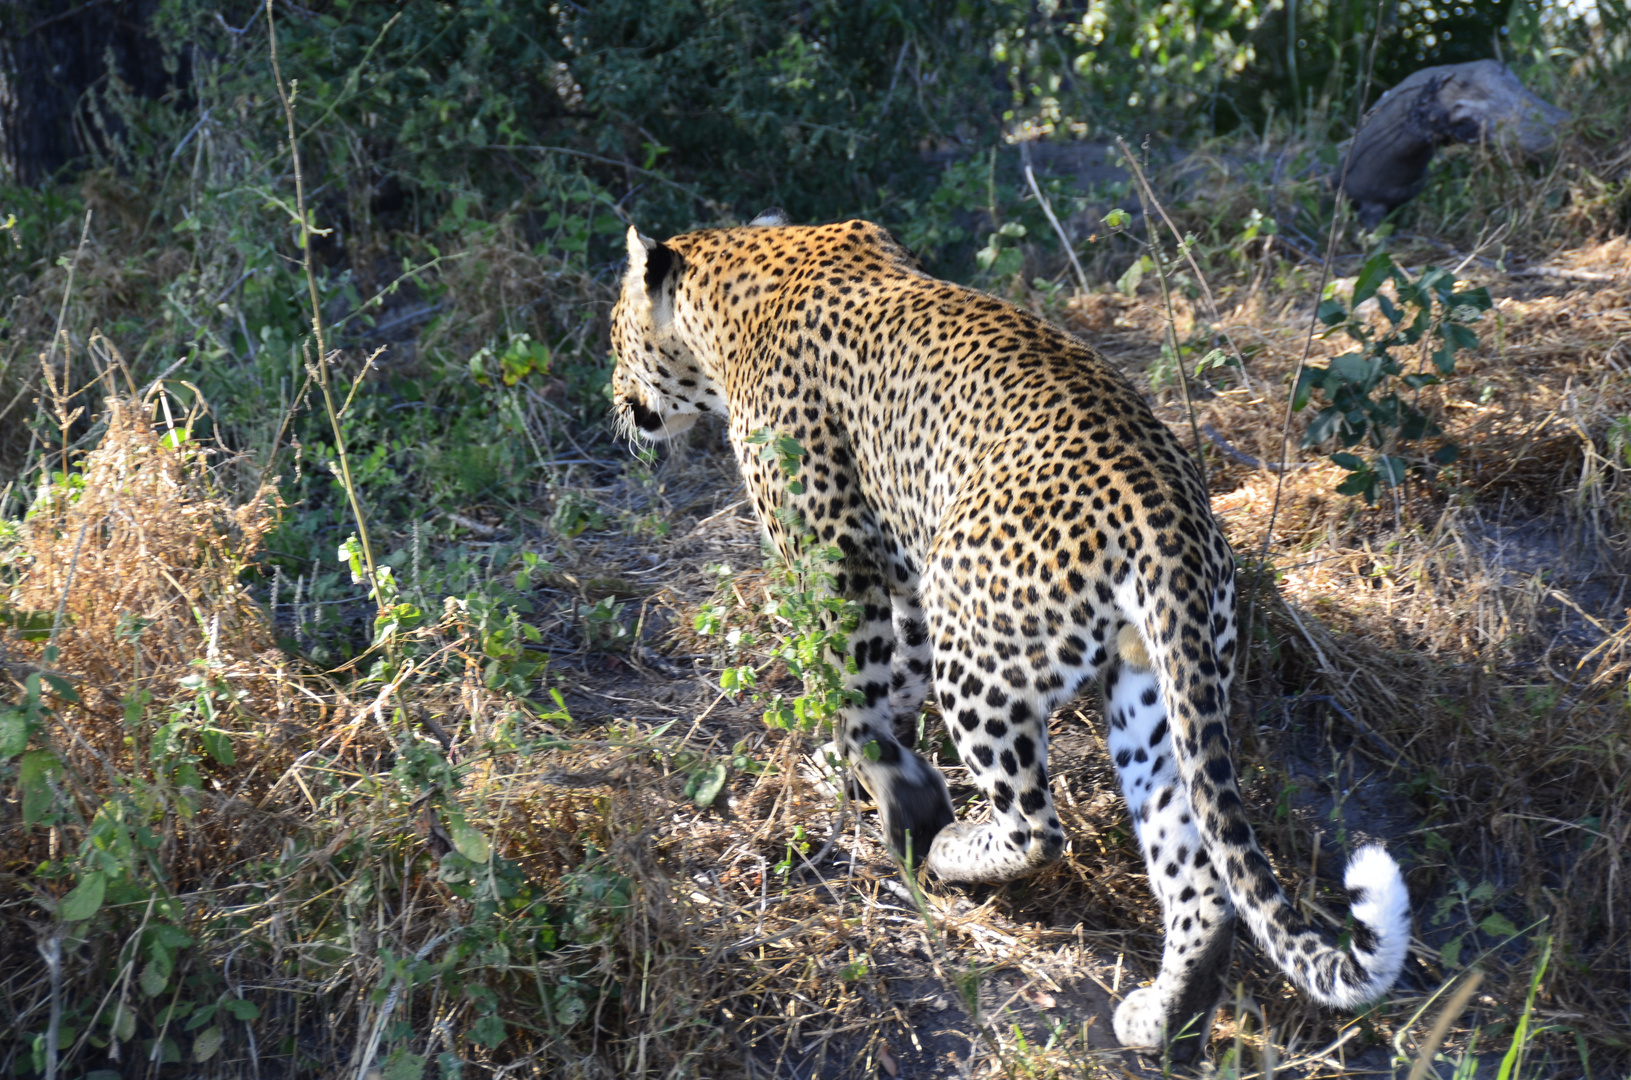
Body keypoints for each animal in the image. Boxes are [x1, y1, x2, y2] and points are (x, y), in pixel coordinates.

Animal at [613, 207, 1415, 1063]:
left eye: (614, 334)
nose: (616, 400)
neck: (735, 290)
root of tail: (1167, 520)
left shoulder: (835, 552)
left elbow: (851, 684)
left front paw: (887, 786)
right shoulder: (909, 572)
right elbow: (892, 679)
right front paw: (858, 765)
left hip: (981, 659)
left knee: (1037, 826)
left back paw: (944, 845)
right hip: (1151, 697)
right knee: (1199, 877)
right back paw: (1163, 1020)